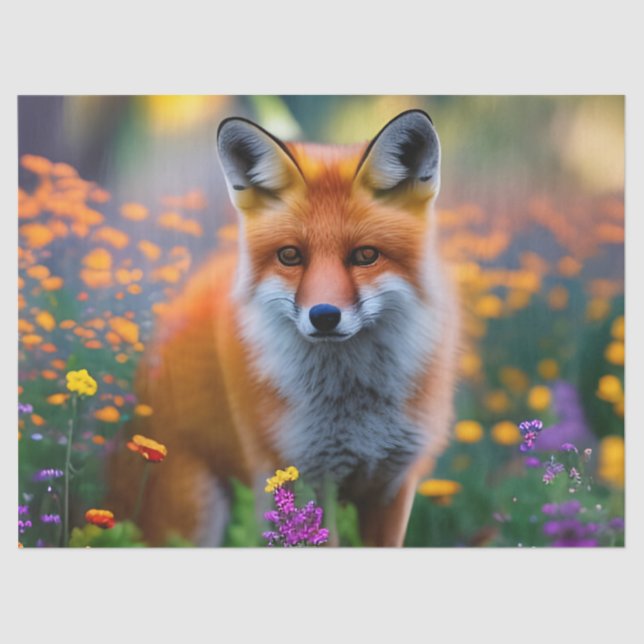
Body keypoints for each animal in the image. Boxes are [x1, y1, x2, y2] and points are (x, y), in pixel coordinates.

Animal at [106, 109, 460, 547]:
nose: (324, 316)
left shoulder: (392, 484)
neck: (353, 406)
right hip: (193, 514)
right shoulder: (305, 477)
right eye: (290, 255)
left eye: (365, 255)